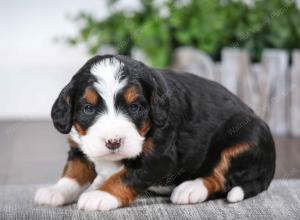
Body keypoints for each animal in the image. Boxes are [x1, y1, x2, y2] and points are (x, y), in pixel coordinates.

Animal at [34, 54, 276, 211]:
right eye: (88, 108)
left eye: (135, 107)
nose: (113, 142)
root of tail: (270, 169)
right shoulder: (79, 147)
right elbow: (73, 172)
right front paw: (55, 192)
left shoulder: (159, 156)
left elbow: (126, 176)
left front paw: (101, 195)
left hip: (246, 132)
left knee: (220, 177)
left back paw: (190, 189)